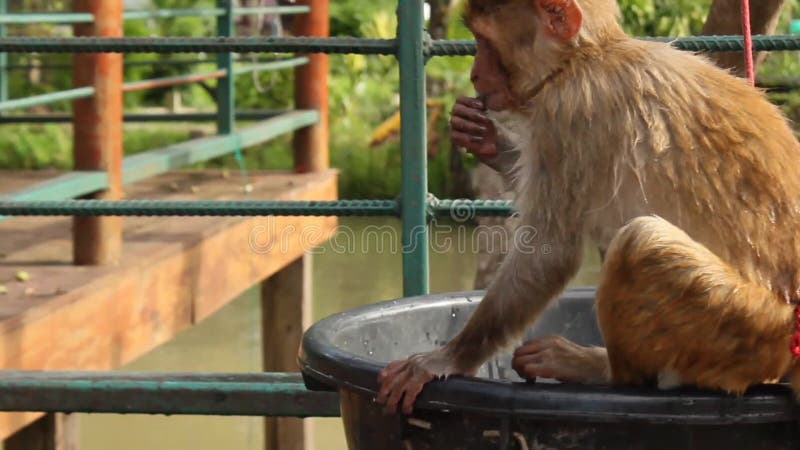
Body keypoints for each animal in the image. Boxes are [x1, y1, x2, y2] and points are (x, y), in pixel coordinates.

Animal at [376, 0, 800, 414]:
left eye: (484, 41)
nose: (476, 74)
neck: (587, 57)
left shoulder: (569, 112)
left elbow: (549, 253)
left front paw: (445, 359)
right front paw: (490, 141)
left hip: (751, 327)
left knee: (640, 242)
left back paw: (600, 369)